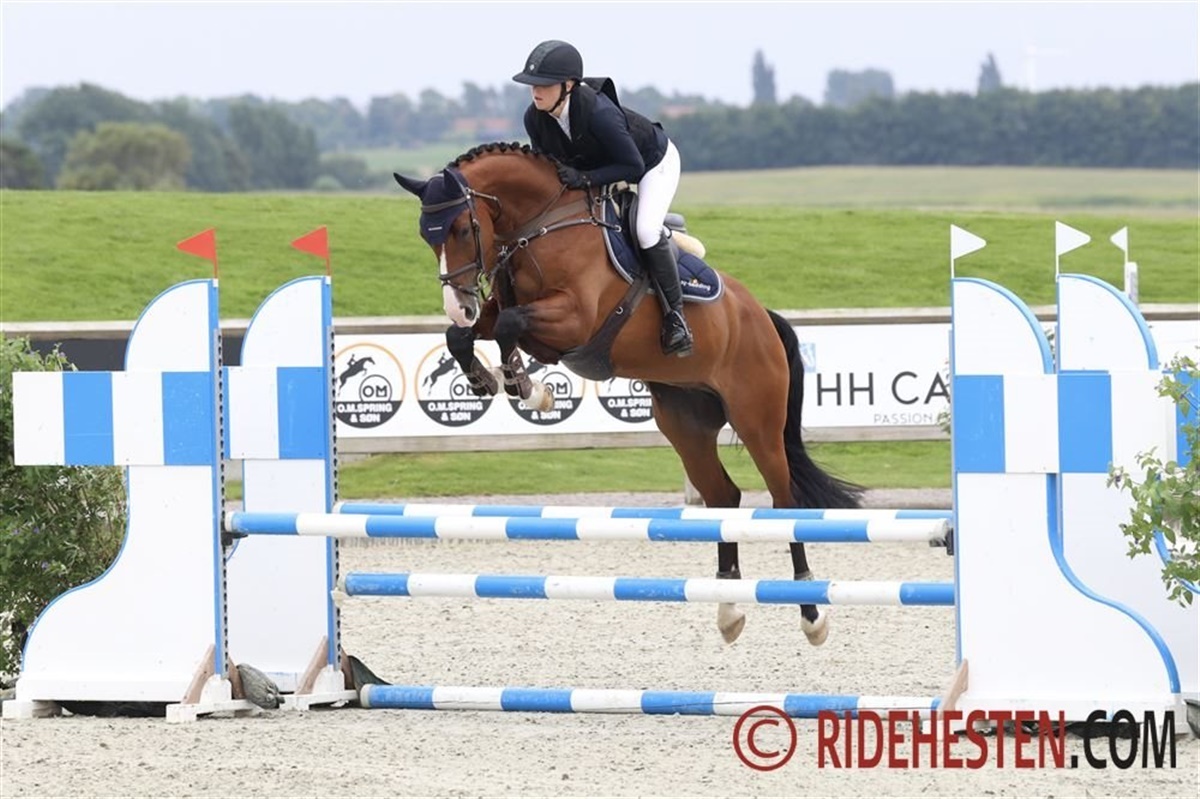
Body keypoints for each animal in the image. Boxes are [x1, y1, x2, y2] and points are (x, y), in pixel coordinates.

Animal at [394, 141, 863, 646]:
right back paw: (729, 610)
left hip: (757, 419)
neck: (539, 224)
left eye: (463, 228)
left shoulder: (573, 320)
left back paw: (811, 615)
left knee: (784, 502)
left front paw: (530, 389)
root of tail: (761, 316)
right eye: (426, 235)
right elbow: (467, 336)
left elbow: (509, 325)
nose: (458, 304)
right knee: (723, 496)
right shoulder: (509, 310)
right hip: (686, 423)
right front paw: (490, 378)